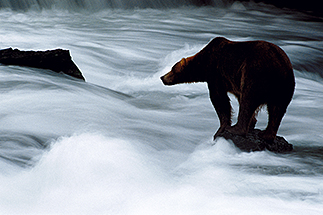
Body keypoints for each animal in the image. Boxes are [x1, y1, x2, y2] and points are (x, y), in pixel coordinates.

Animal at [161, 37, 294, 143]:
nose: (162, 77)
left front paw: (222, 127)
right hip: (283, 87)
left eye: (172, 69)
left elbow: (220, 100)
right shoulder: (234, 81)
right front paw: (252, 123)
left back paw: (236, 129)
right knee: (277, 110)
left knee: (248, 101)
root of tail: (280, 65)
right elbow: (237, 97)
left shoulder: (216, 74)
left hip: (255, 73)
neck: (203, 65)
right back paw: (266, 134)